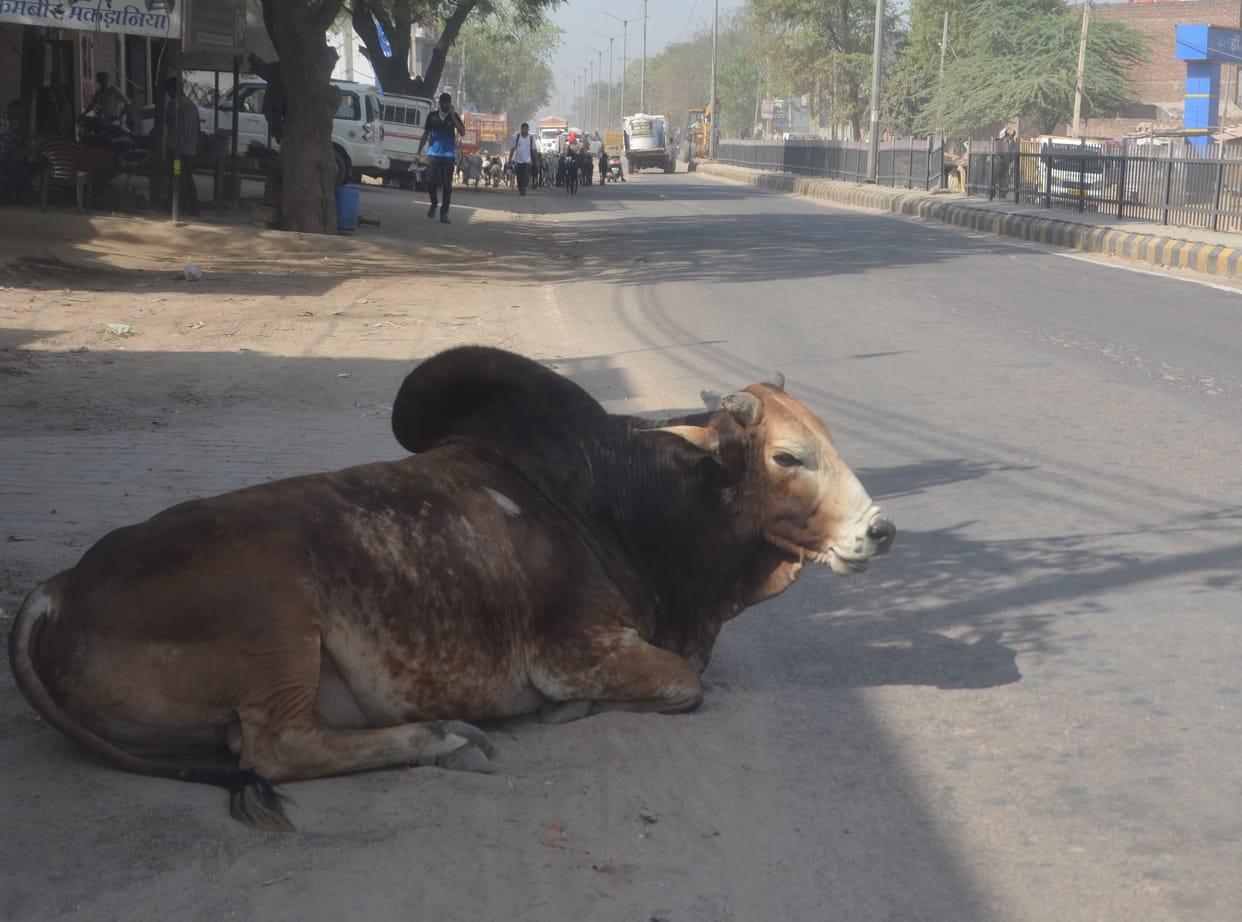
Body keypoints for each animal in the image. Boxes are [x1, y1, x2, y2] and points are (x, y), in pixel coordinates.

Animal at [9, 347, 895, 832]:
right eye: (788, 457)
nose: (880, 530)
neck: (628, 504)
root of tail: (63, 584)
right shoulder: (575, 650)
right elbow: (683, 684)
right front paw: (571, 711)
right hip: (276, 620)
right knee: (276, 749)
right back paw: (443, 738)